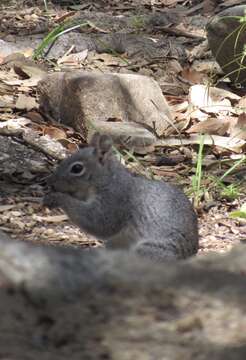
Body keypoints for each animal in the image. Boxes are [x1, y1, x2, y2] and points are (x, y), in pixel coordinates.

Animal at [43, 134, 199, 260]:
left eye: (77, 168)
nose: (51, 182)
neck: (108, 179)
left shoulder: (116, 199)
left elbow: (99, 222)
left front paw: (57, 198)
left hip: (150, 251)